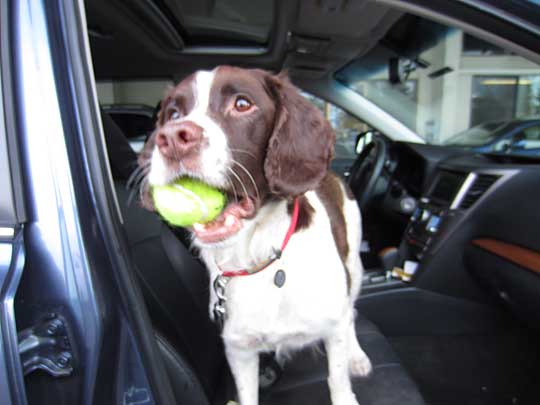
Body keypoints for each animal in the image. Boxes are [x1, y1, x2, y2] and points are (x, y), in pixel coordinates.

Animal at [140, 66, 372, 404]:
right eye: (173, 113)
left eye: (242, 104)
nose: (171, 137)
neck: (259, 257)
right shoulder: (239, 349)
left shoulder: (334, 325)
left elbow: (337, 379)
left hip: (353, 264)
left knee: (353, 310)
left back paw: (357, 356)